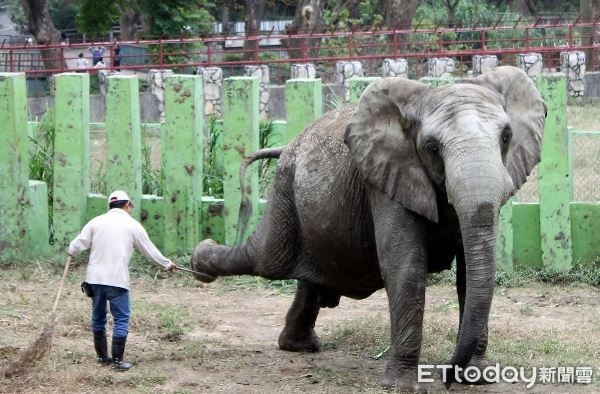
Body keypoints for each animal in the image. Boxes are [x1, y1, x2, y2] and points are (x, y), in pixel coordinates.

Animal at [190, 66, 548, 390]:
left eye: (506, 137)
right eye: (432, 147)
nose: (446, 376)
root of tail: (288, 145)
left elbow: (469, 276)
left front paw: (478, 377)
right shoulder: (385, 181)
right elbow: (405, 268)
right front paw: (402, 386)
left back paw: (299, 346)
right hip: (285, 191)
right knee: (265, 259)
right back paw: (200, 261)